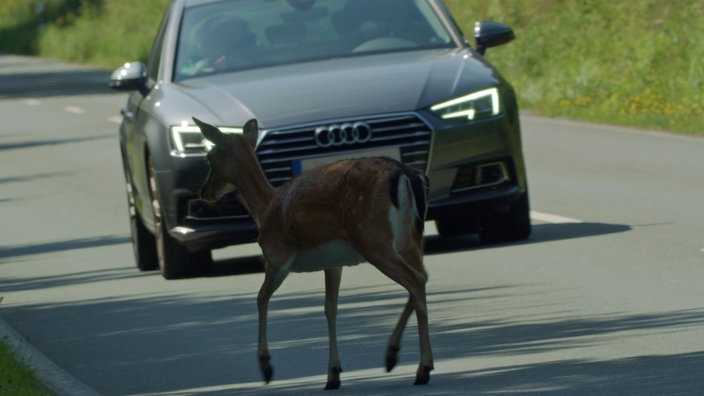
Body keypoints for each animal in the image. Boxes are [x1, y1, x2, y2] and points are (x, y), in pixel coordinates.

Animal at [194, 116, 434, 388]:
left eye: (209, 157)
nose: (203, 191)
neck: (264, 210)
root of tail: (406, 176)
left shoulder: (276, 256)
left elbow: (261, 298)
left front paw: (266, 367)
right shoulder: (333, 263)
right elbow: (330, 308)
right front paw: (333, 374)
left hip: (373, 238)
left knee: (415, 280)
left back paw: (422, 368)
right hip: (410, 241)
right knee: (422, 278)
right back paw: (393, 356)